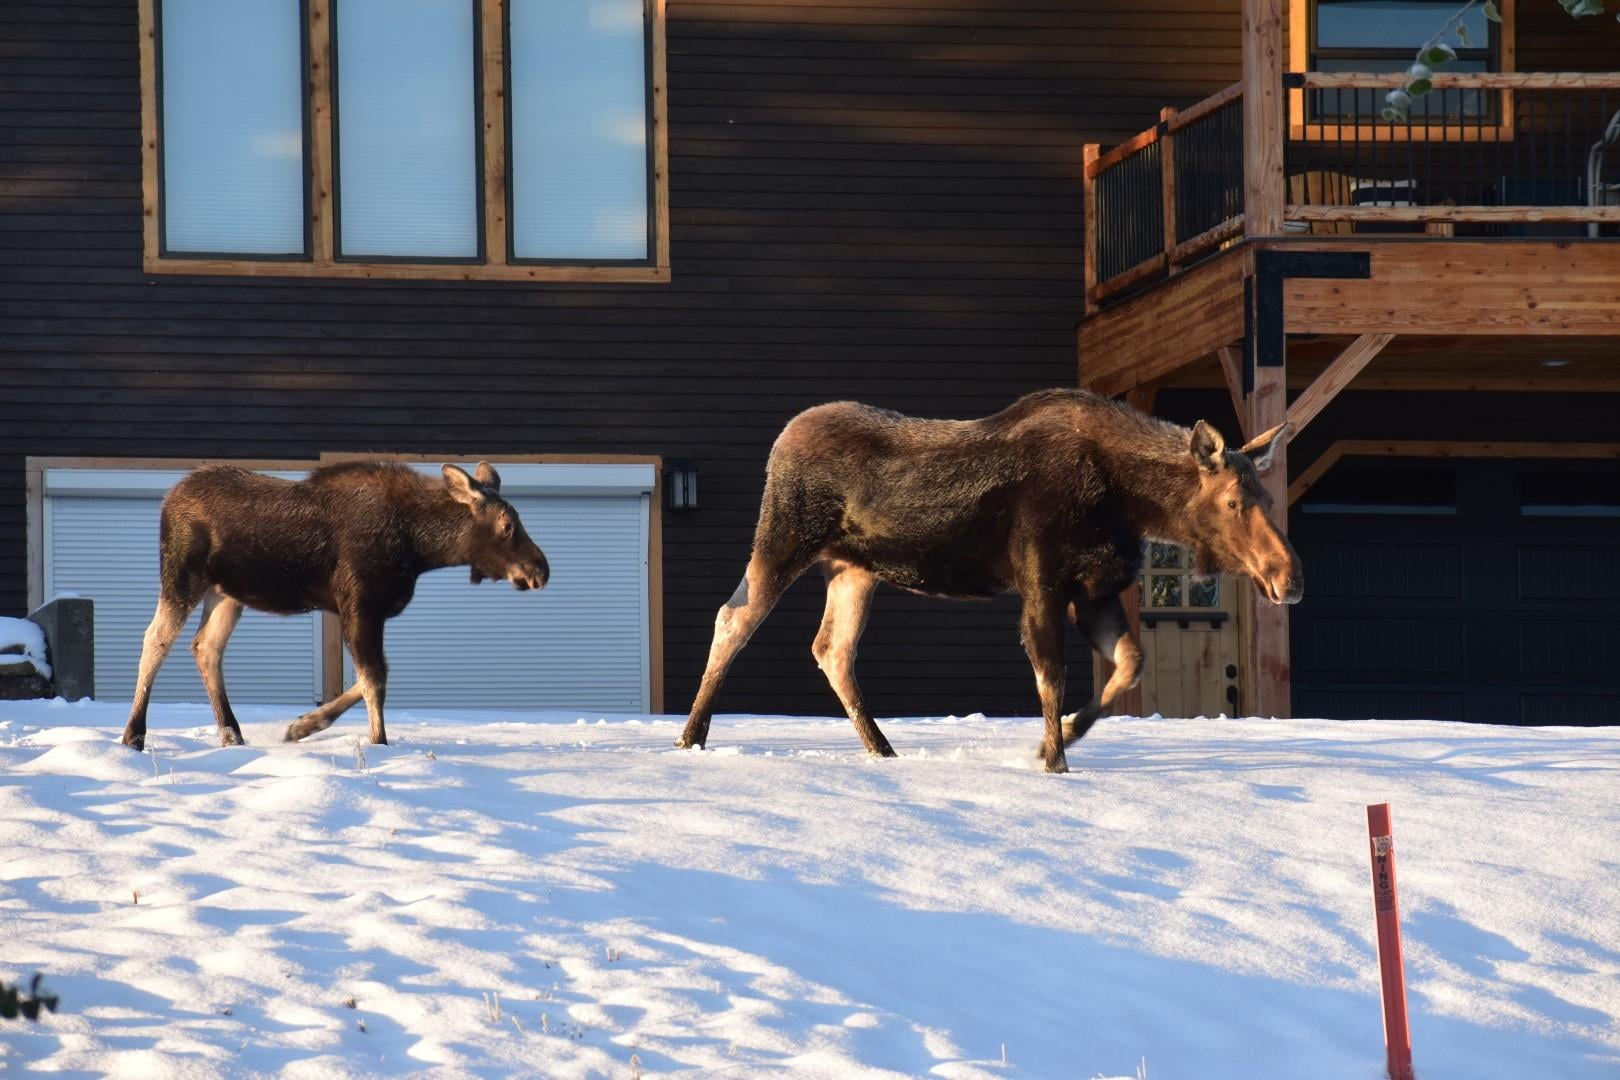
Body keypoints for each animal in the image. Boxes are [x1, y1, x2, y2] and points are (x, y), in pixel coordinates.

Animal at [119, 461, 549, 752]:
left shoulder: (360, 610)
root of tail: (168, 498)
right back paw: (133, 735)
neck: (420, 547)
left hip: (227, 594)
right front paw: (379, 743)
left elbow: (370, 677)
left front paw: (303, 726)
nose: (540, 570)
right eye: (507, 525)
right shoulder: (360, 603)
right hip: (182, 577)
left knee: (205, 648)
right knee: (155, 640)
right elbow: (375, 679)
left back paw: (232, 734)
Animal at [676, 389, 1302, 773]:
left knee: (832, 647)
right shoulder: (1043, 579)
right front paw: (1054, 758)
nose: (1289, 577)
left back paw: (882, 749)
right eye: (1232, 501)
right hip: (783, 538)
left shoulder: (1094, 588)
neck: (1130, 502)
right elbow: (1051, 673)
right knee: (734, 619)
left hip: (853, 568)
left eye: (1269, 498)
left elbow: (1129, 664)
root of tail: (782, 439)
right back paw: (690, 736)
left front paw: (1066, 733)